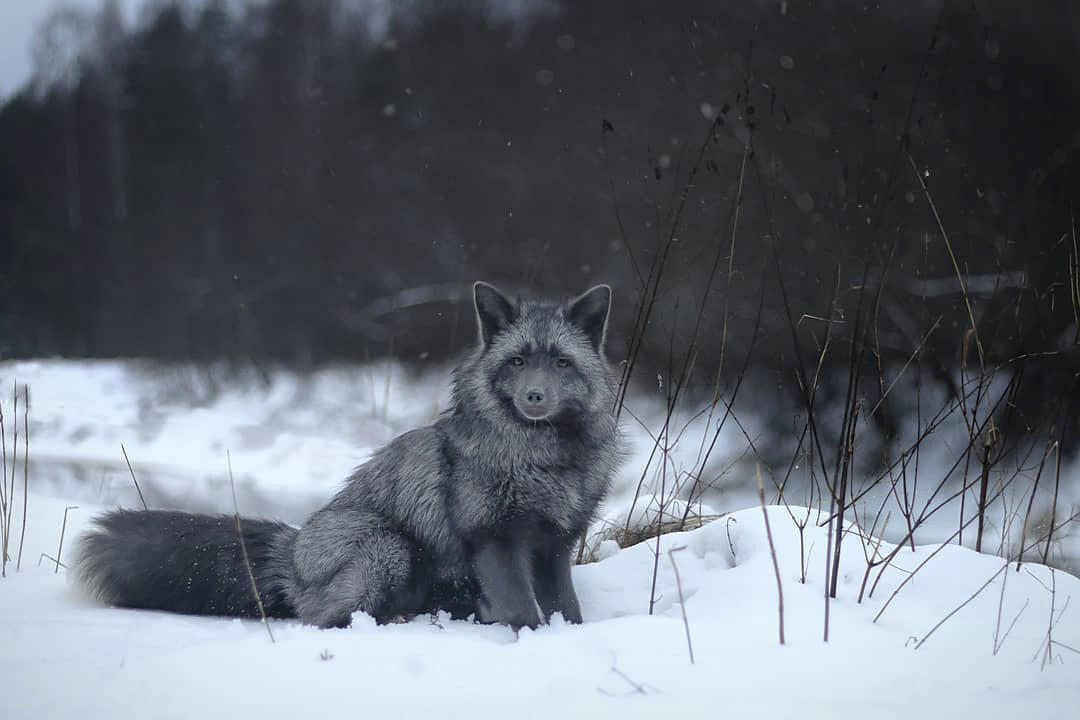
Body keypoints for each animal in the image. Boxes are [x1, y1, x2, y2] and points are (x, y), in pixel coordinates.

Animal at [76, 280, 626, 630]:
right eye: (517, 361)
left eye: (561, 363)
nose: (534, 397)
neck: (548, 463)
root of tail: (291, 558)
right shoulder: (494, 536)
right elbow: (525, 612)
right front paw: (538, 642)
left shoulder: (555, 543)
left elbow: (567, 609)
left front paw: (572, 638)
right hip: (387, 547)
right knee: (324, 620)